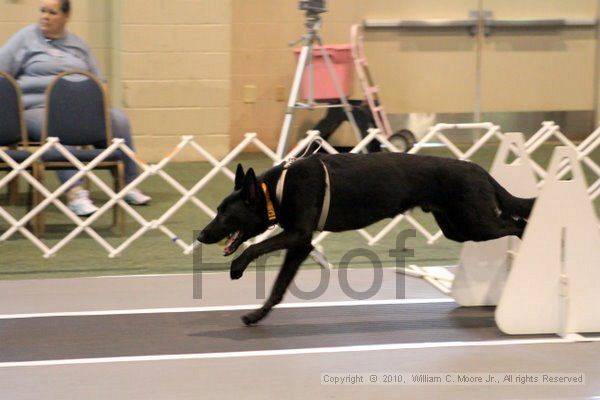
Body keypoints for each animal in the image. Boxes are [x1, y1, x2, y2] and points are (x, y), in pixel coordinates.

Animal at [197, 152, 536, 324]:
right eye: (216, 210)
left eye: (225, 214)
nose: (200, 235)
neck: (276, 190)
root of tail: (480, 169)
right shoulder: (301, 244)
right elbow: (278, 287)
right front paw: (258, 315)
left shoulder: (296, 235)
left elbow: (257, 246)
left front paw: (237, 268)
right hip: (458, 228)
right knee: (511, 221)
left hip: (477, 223)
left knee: (516, 223)